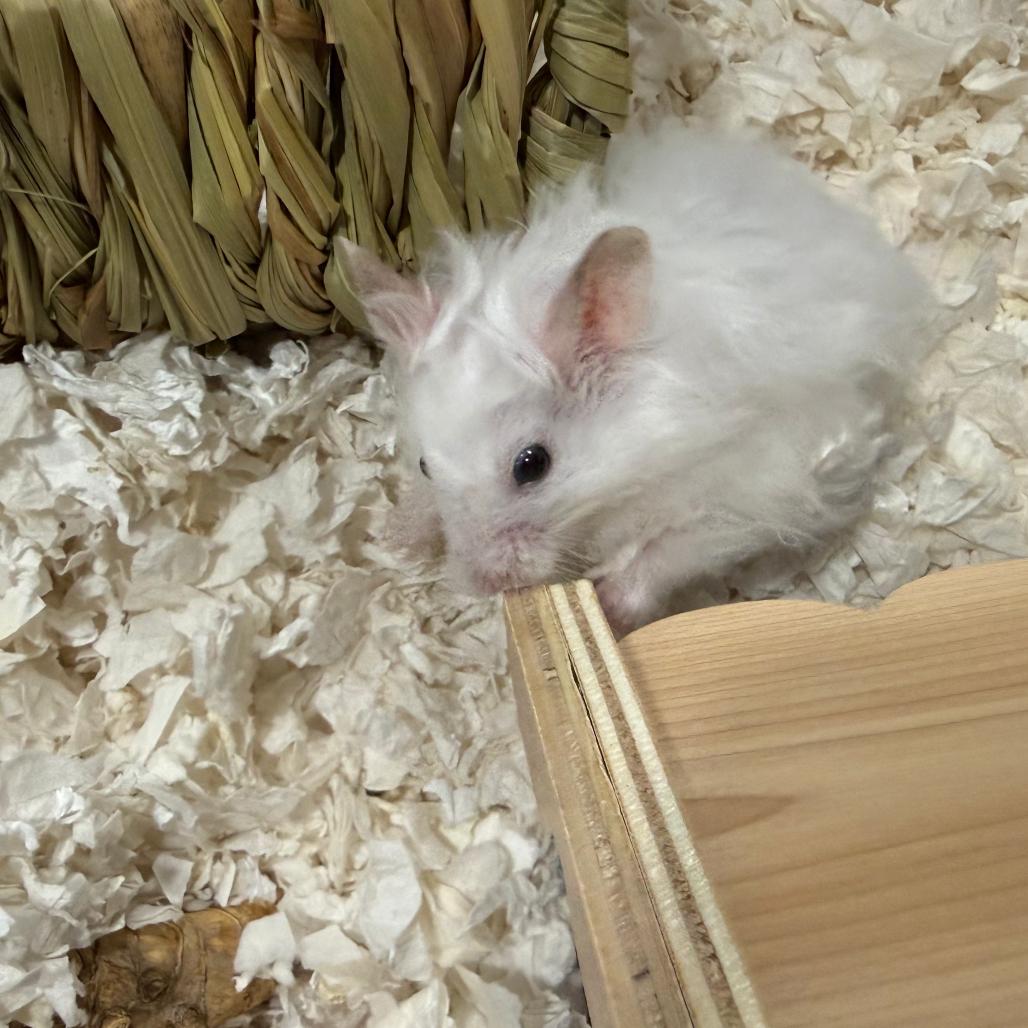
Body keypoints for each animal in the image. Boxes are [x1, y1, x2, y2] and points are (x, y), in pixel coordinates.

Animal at [341, 119, 937, 636]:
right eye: (424, 464)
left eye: (532, 465)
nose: (482, 583)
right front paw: (395, 537)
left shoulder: (754, 486)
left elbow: (667, 552)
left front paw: (607, 606)